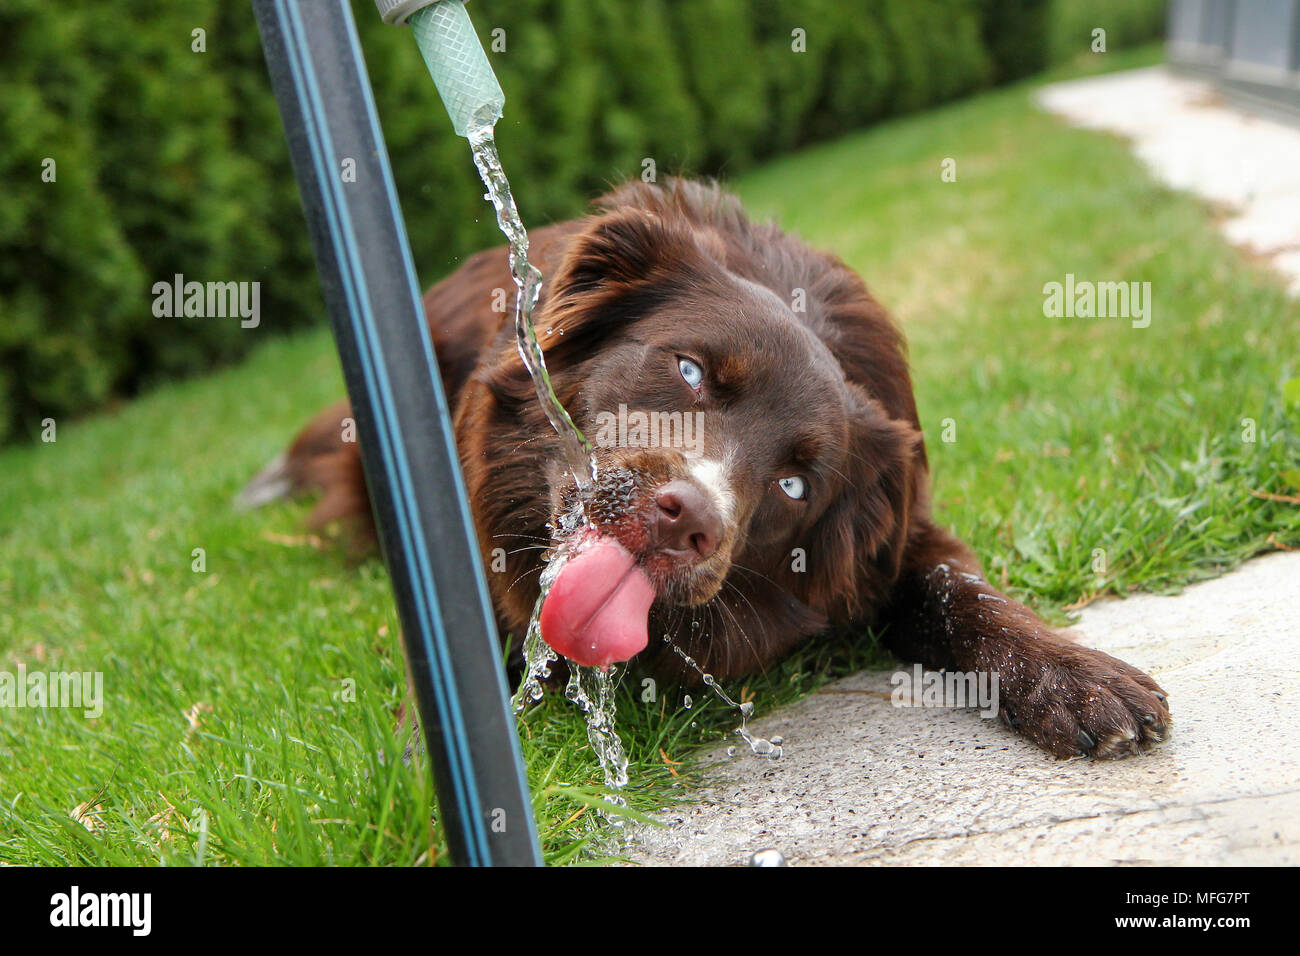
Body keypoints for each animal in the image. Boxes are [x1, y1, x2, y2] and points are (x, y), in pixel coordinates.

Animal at [248, 179, 1175, 759]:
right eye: (690, 370)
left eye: (797, 484)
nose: (687, 519)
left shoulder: (900, 539)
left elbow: (962, 594)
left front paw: (1074, 677)